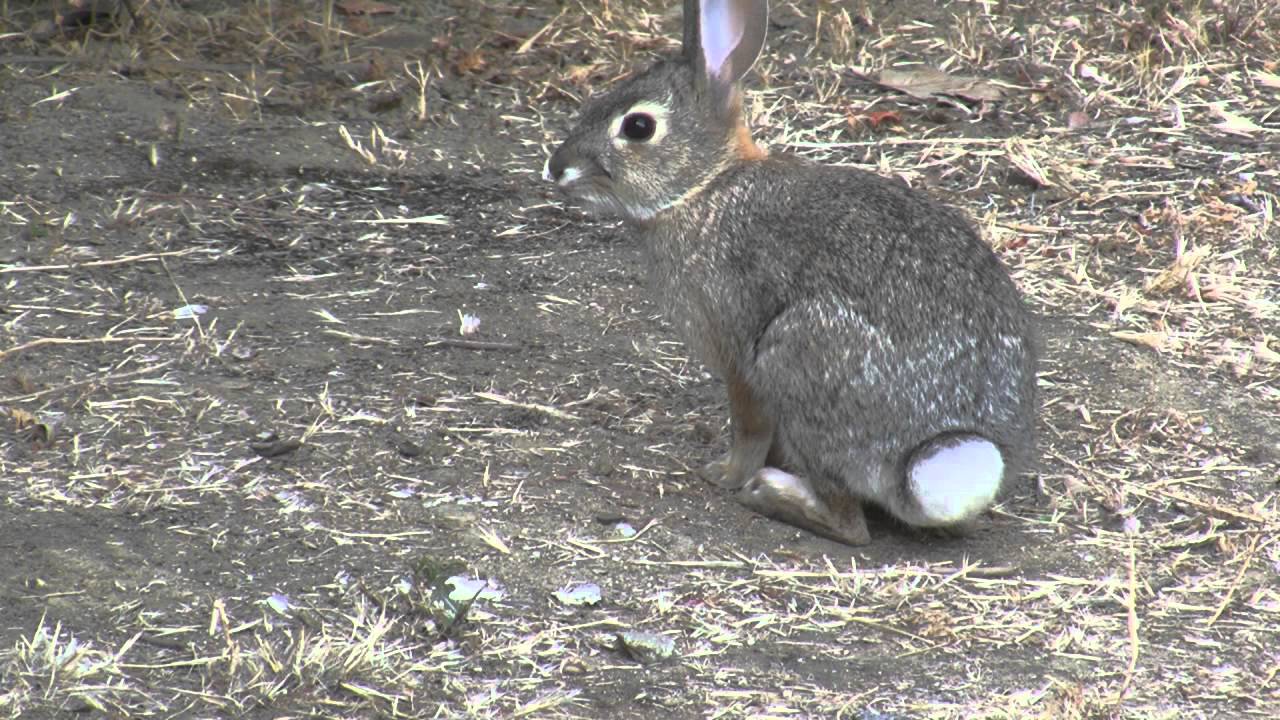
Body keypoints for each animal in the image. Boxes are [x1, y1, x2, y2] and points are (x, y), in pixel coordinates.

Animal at [543, 0, 1037, 545]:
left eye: (637, 127)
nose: (557, 167)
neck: (705, 186)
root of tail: (935, 460)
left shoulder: (738, 355)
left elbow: (749, 424)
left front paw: (723, 474)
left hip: (801, 352)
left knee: (851, 525)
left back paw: (770, 492)